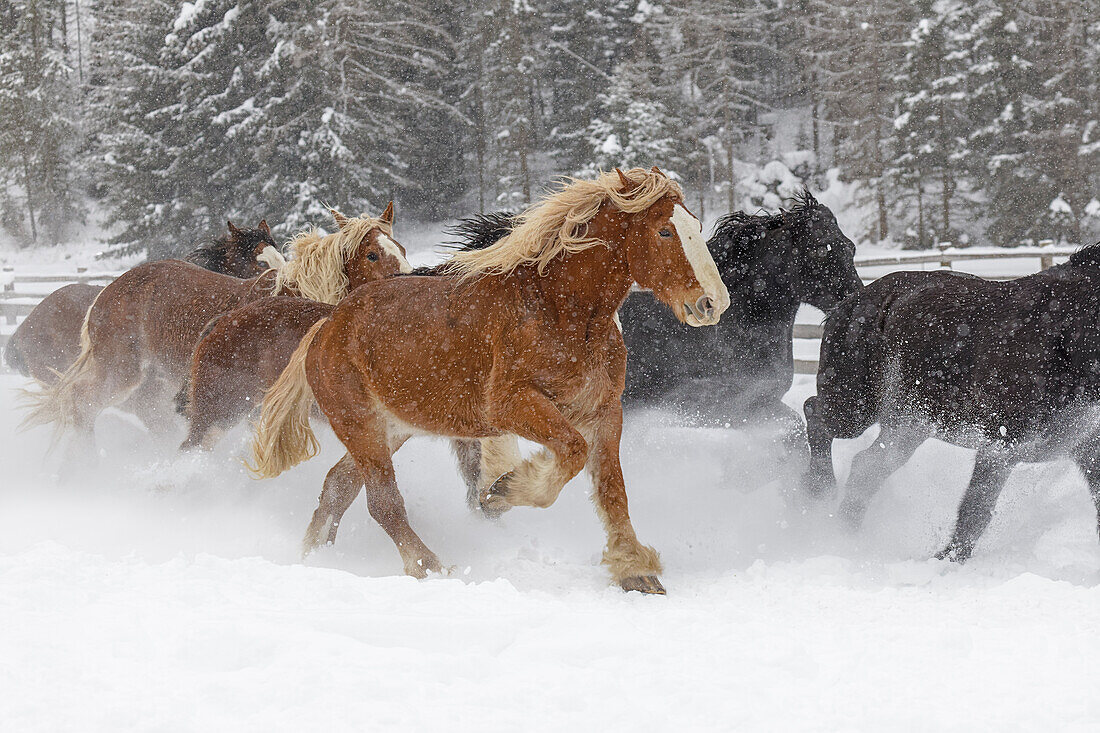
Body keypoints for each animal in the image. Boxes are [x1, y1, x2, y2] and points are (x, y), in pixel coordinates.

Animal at [249, 168, 730, 589]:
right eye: (665, 231)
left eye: (695, 224)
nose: (712, 303)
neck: (563, 311)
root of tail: (327, 324)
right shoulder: (511, 405)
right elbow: (570, 453)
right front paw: (504, 489)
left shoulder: (604, 410)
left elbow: (613, 490)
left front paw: (635, 571)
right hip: (360, 425)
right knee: (382, 502)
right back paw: (431, 568)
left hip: (391, 429)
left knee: (337, 487)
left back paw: (313, 558)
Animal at [805, 245, 1100, 559]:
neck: (1062, 337)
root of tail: (848, 302)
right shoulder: (999, 447)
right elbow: (974, 513)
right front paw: (946, 561)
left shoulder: (1089, 449)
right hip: (854, 410)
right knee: (815, 413)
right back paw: (818, 493)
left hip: (908, 425)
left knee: (866, 468)